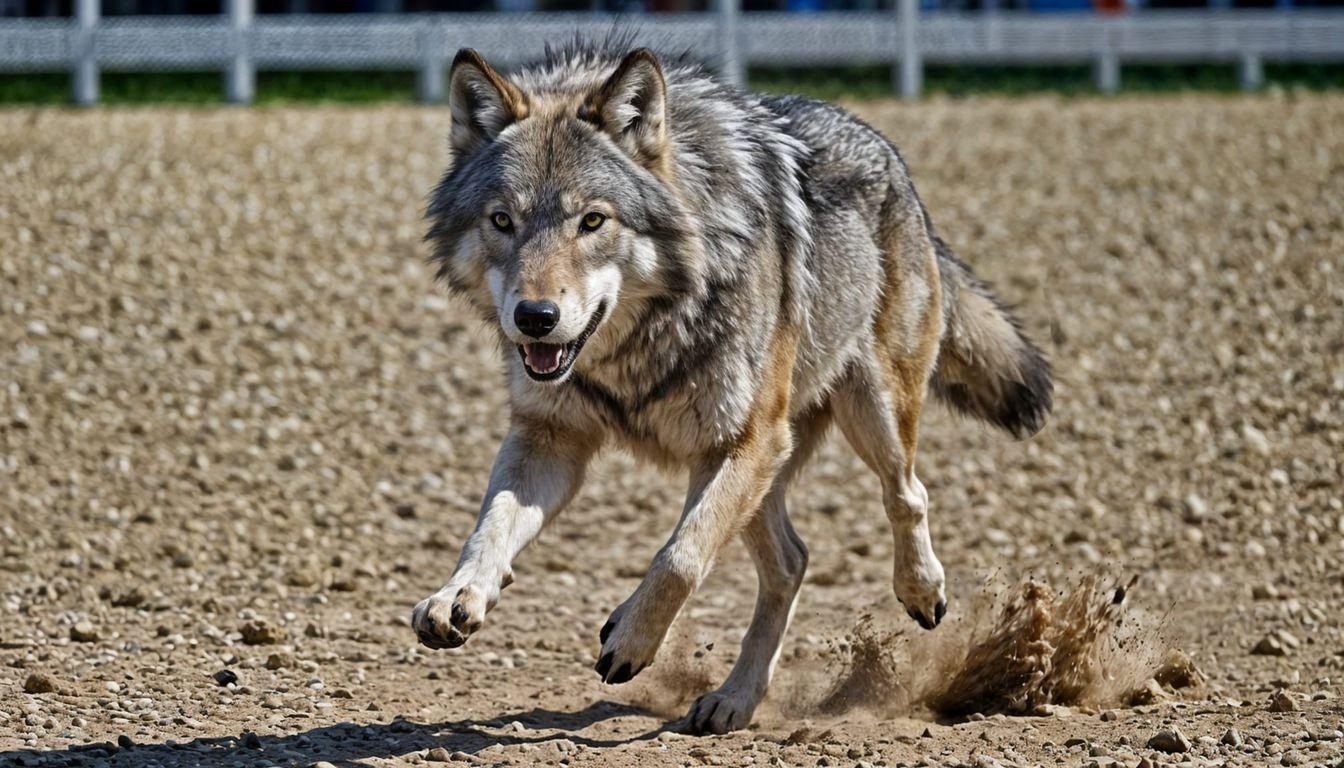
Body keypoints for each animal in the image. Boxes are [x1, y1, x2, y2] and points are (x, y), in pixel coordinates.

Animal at [411, 38, 1052, 734]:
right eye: (502, 220)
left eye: (593, 221)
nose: (534, 318)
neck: (638, 348)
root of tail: (889, 152)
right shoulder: (550, 439)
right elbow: (489, 525)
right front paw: (458, 595)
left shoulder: (747, 439)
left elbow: (679, 558)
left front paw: (631, 640)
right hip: (753, 469)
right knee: (793, 561)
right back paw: (735, 699)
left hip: (861, 416)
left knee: (907, 493)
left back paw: (922, 591)